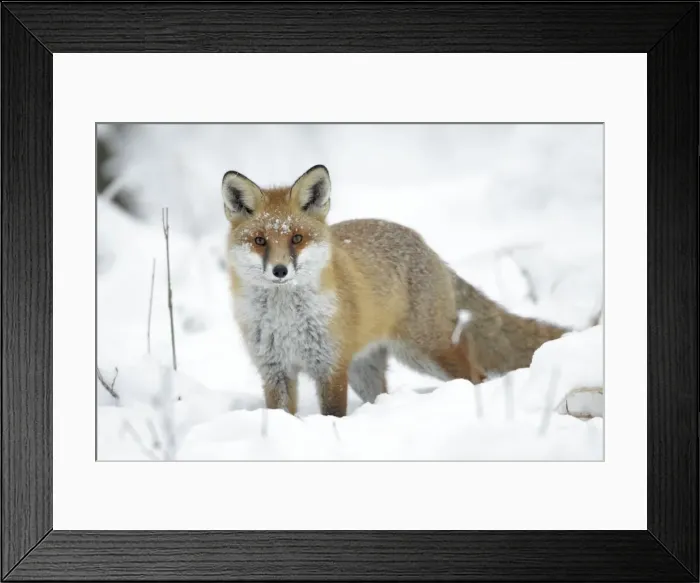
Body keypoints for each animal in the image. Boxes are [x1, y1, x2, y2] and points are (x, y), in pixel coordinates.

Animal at [222, 164, 569, 418]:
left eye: (296, 238)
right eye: (260, 241)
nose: (280, 270)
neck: (286, 320)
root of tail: (423, 243)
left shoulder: (330, 367)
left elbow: (333, 415)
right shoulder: (275, 370)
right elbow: (280, 414)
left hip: (427, 351)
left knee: (477, 374)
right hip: (365, 370)